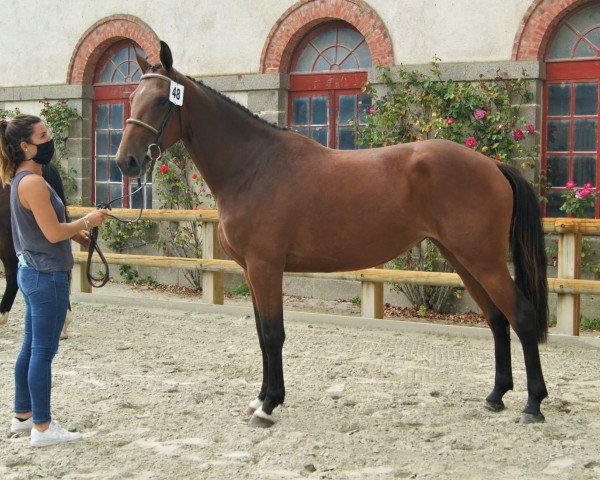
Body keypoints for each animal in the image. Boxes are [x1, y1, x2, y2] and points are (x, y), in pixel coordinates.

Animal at [113, 42, 548, 428]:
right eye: (131, 96)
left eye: (160, 100)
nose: (126, 162)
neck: (253, 167)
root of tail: (491, 165)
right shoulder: (252, 272)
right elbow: (261, 335)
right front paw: (260, 397)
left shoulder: (265, 268)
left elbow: (273, 334)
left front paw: (268, 406)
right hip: (462, 259)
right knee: (497, 319)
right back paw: (496, 396)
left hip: (483, 260)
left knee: (522, 316)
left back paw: (533, 405)